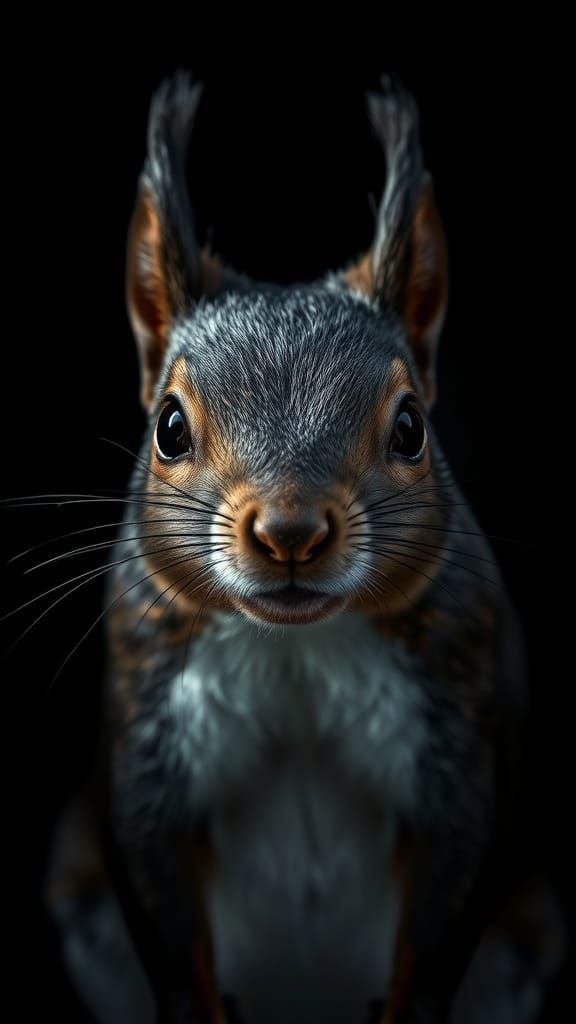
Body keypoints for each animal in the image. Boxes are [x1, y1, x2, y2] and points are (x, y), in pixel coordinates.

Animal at [44, 71, 565, 1024]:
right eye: (168, 425)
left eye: (411, 428)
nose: (290, 531)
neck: (296, 650)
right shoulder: (147, 737)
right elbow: (170, 936)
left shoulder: (462, 736)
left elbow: (438, 931)